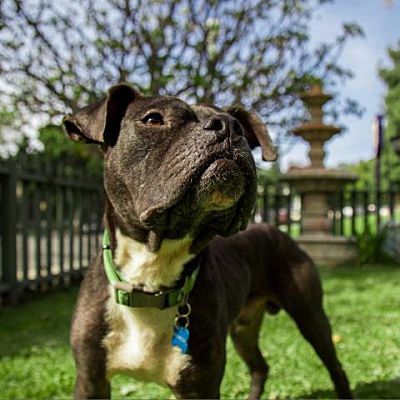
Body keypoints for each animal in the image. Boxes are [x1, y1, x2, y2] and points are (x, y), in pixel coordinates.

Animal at [61, 83, 352, 398]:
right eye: (153, 119)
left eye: (240, 128)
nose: (228, 126)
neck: (151, 279)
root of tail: (275, 229)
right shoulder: (91, 380)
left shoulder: (200, 385)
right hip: (244, 328)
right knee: (260, 366)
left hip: (310, 316)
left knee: (335, 367)